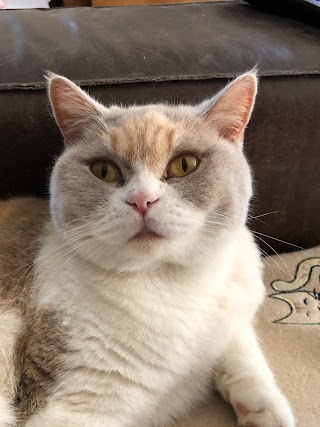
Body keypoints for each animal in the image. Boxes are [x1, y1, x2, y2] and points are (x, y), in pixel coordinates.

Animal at [0, 72, 296, 426]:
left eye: (184, 164)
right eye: (104, 170)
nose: (142, 200)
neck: (173, 283)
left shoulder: (235, 303)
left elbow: (243, 354)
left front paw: (266, 410)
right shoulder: (69, 406)